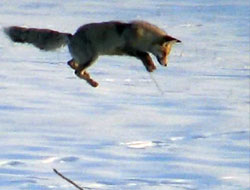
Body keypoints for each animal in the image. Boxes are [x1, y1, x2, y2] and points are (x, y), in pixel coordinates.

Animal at [3, 20, 180, 87]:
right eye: (164, 53)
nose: (166, 64)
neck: (142, 35)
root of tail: (72, 36)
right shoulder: (129, 48)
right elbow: (145, 55)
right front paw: (150, 66)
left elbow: (145, 55)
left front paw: (151, 66)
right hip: (92, 57)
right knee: (76, 70)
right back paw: (92, 82)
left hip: (86, 58)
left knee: (72, 64)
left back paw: (89, 78)